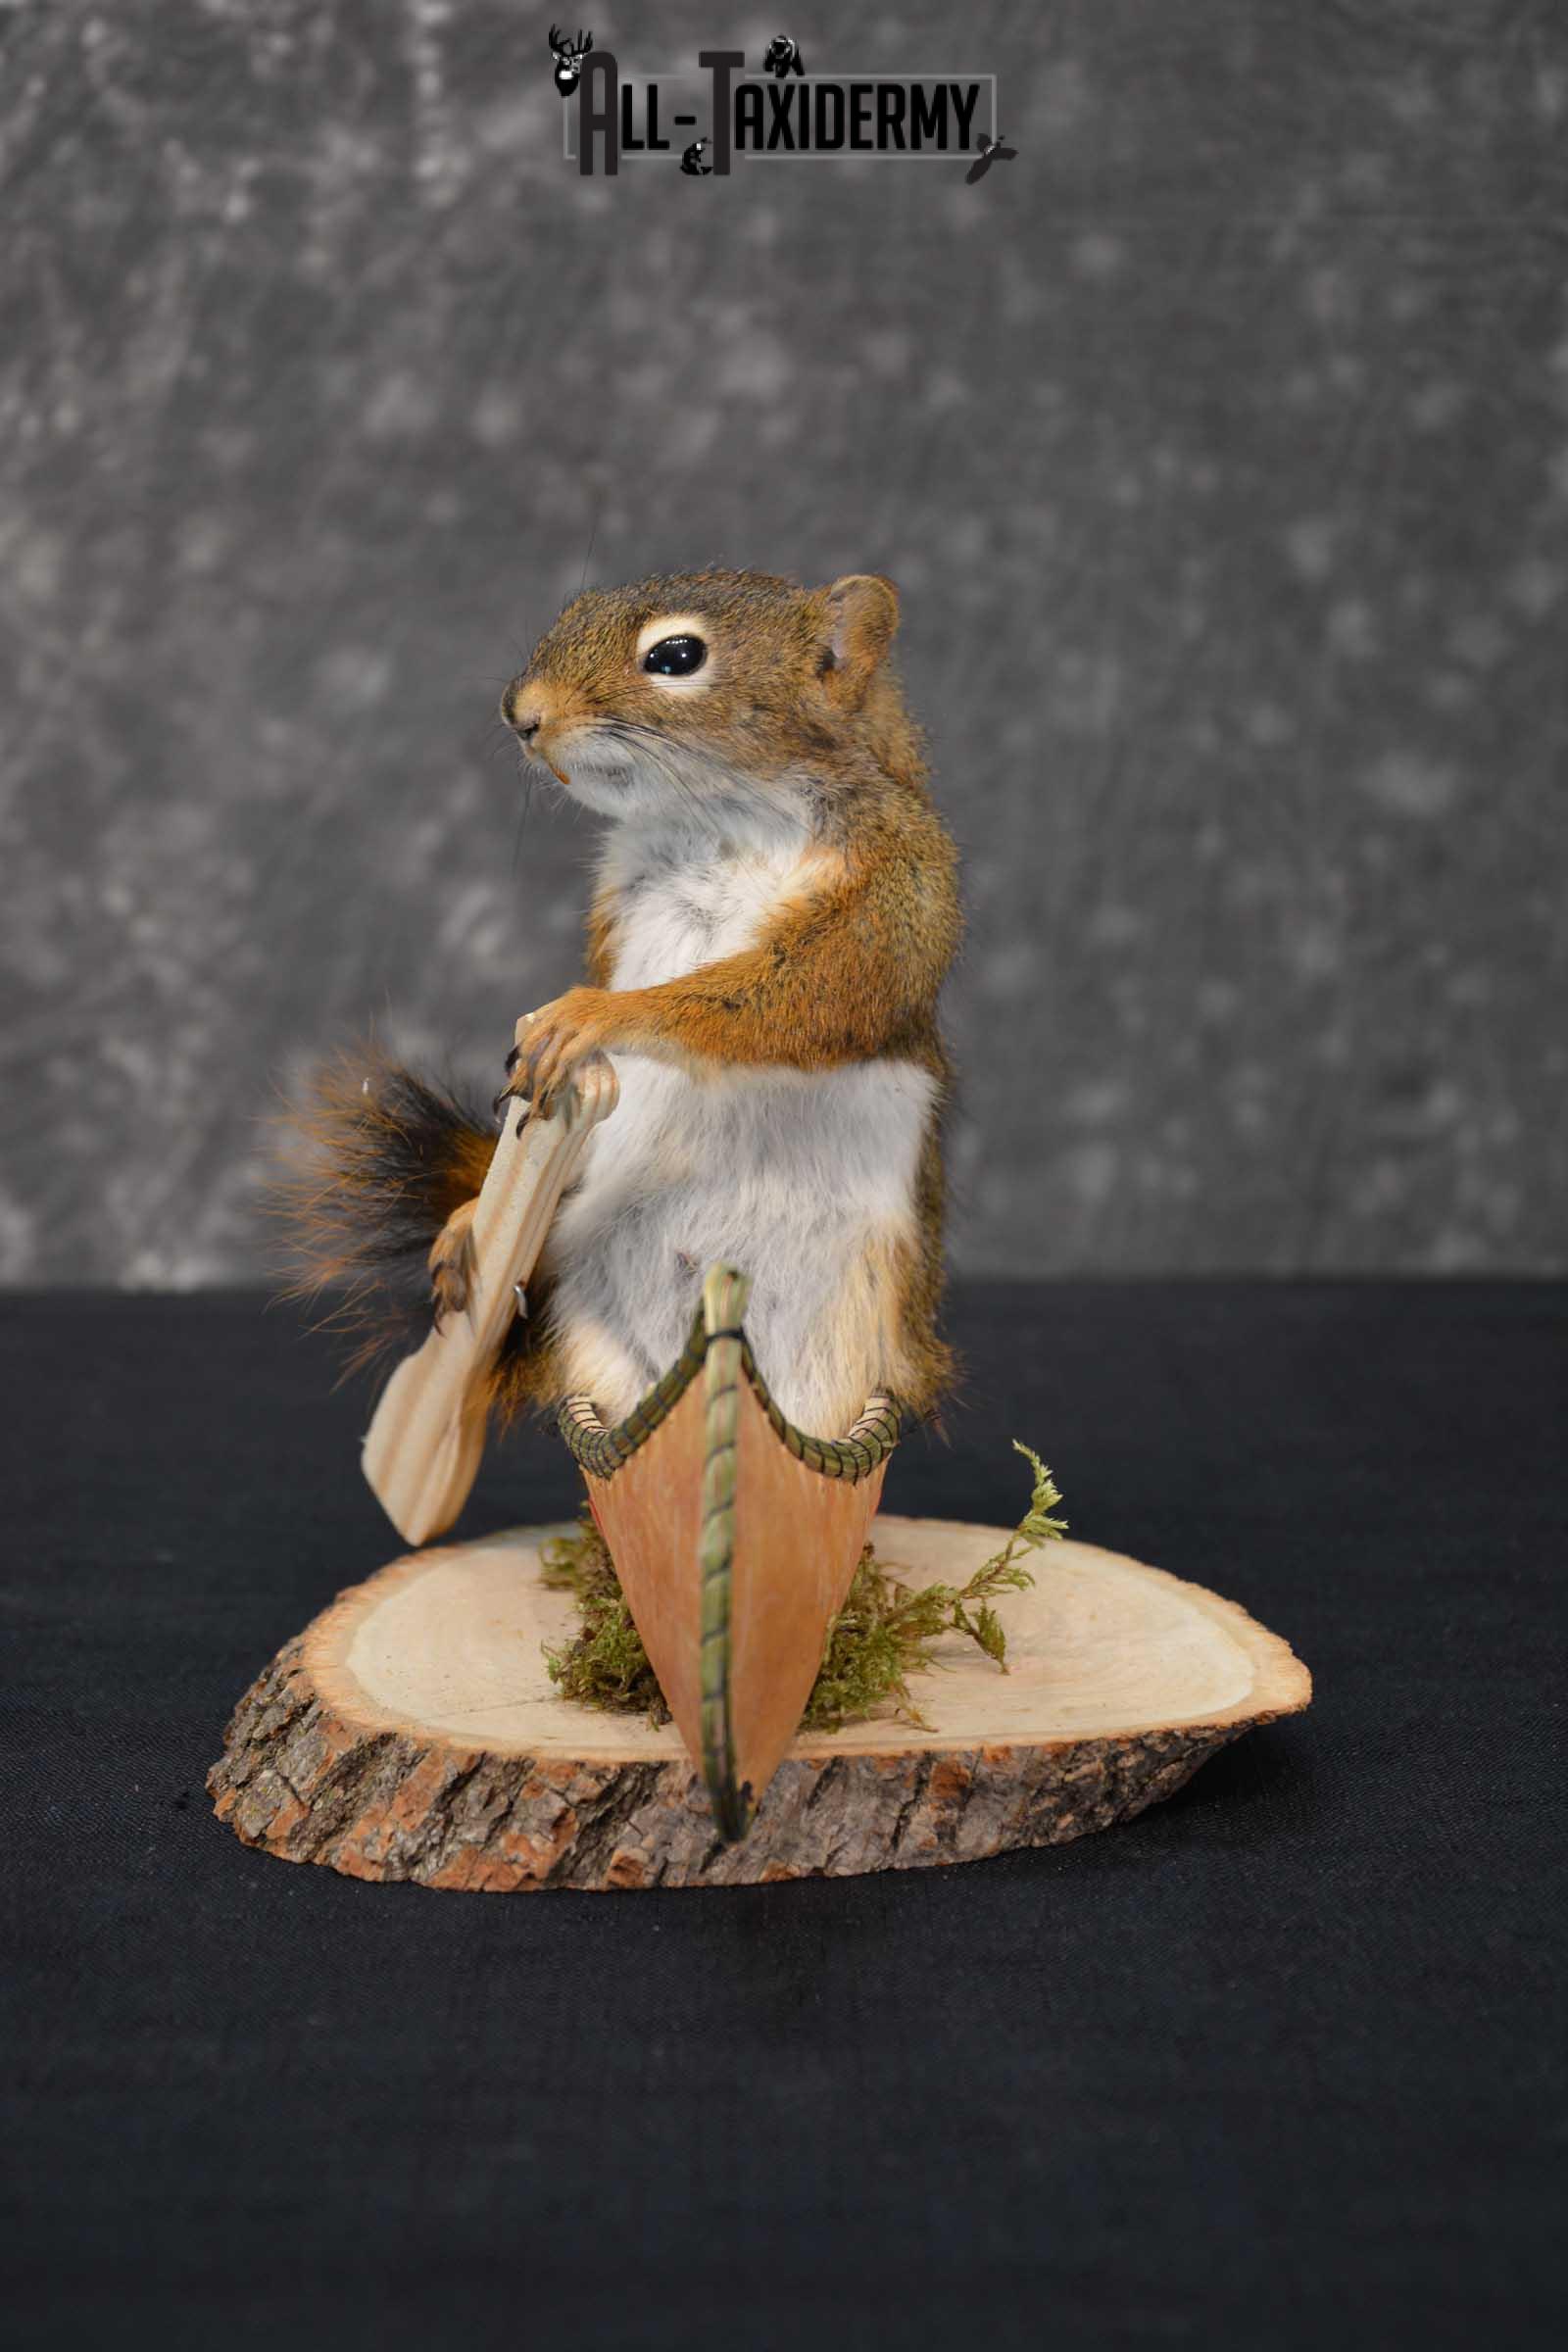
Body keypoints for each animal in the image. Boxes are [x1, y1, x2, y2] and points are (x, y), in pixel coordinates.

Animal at [281, 567, 962, 1442]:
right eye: (573, 609)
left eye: (676, 656)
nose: (522, 714)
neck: (713, 820)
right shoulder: (617, 903)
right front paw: (469, 1217)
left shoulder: (897, 885)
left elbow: (807, 991)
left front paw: (594, 1017)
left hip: (847, 1348)